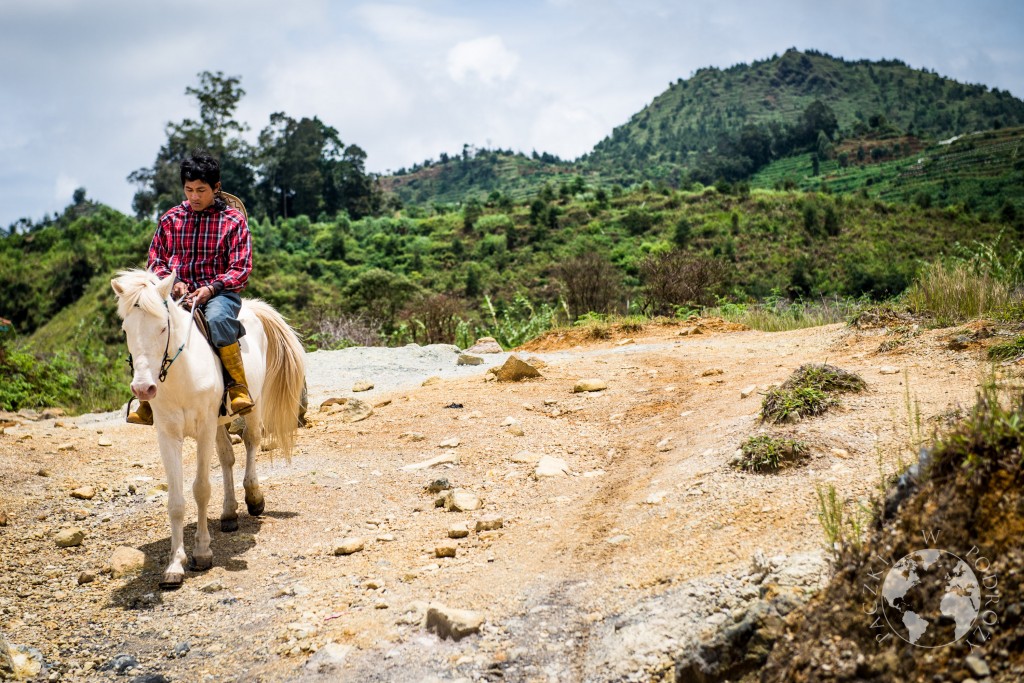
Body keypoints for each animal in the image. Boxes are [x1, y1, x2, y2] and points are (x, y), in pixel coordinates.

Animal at [112, 270, 305, 589]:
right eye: (126, 329)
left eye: (163, 328)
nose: (143, 388)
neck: (182, 374)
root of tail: (253, 308)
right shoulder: (168, 436)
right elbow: (176, 501)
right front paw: (174, 565)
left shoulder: (202, 430)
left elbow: (201, 489)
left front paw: (202, 552)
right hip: (218, 424)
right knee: (227, 458)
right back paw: (228, 513)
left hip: (251, 408)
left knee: (251, 442)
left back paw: (254, 498)